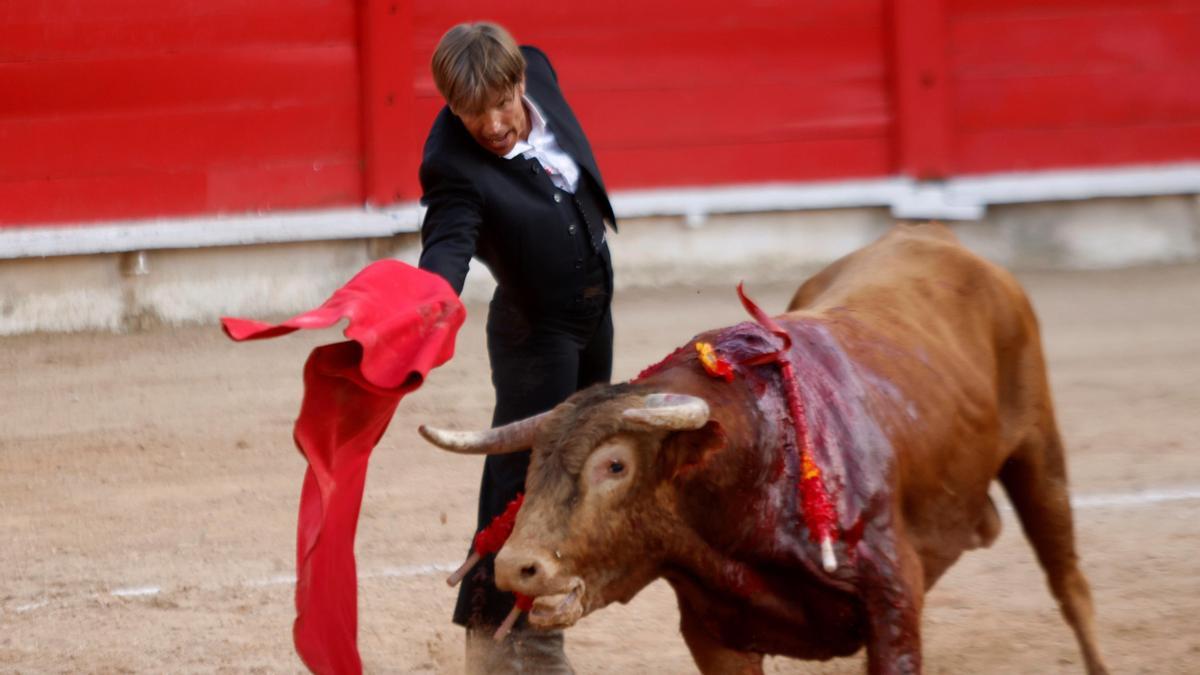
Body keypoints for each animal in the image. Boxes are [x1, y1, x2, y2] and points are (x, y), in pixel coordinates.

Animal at [420, 223, 1104, 667]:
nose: (515, 566)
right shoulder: (713, 631)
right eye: (533, 466)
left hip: (1039, 450)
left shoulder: (894, 605)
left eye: (615, 465)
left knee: (1069, 580)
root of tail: (939, 238)